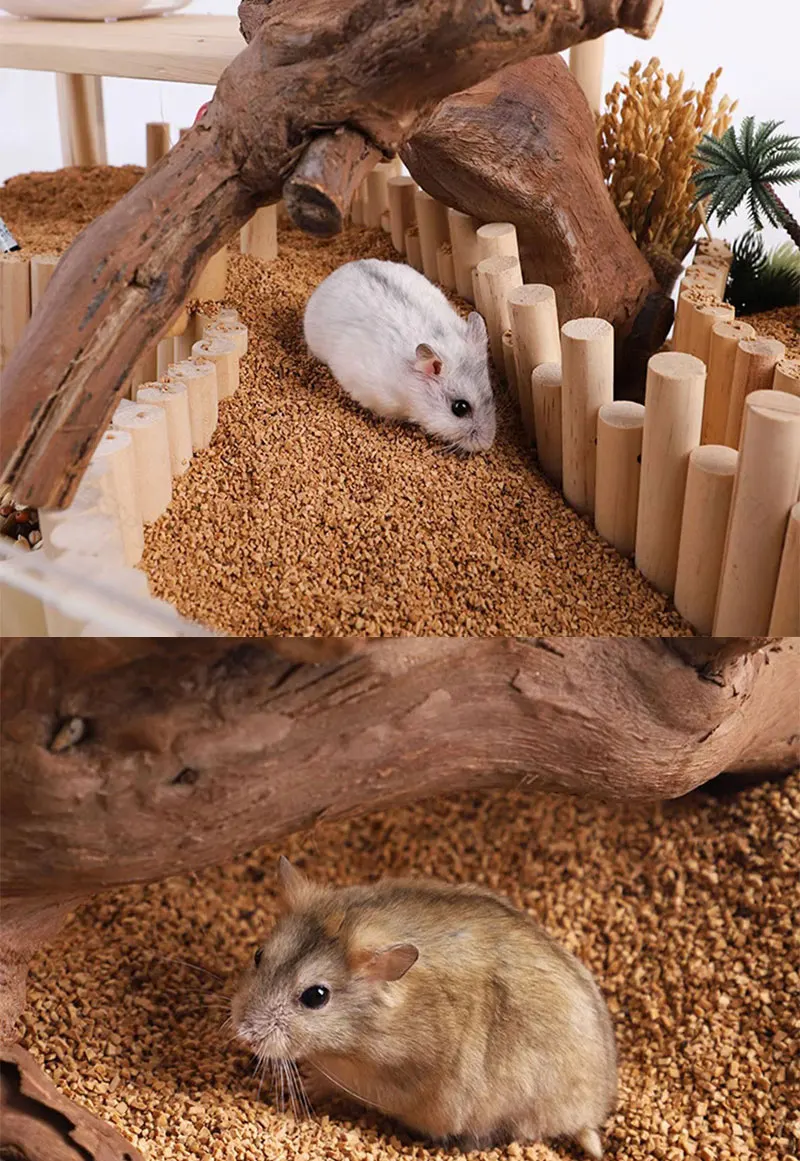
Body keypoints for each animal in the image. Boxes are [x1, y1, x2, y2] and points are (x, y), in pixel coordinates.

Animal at [231, 859, 617, 1158]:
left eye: (316, 996)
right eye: (259, 955)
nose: (242, 1034)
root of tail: (591, 1112)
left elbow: (329, 1084)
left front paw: (306, 1084)